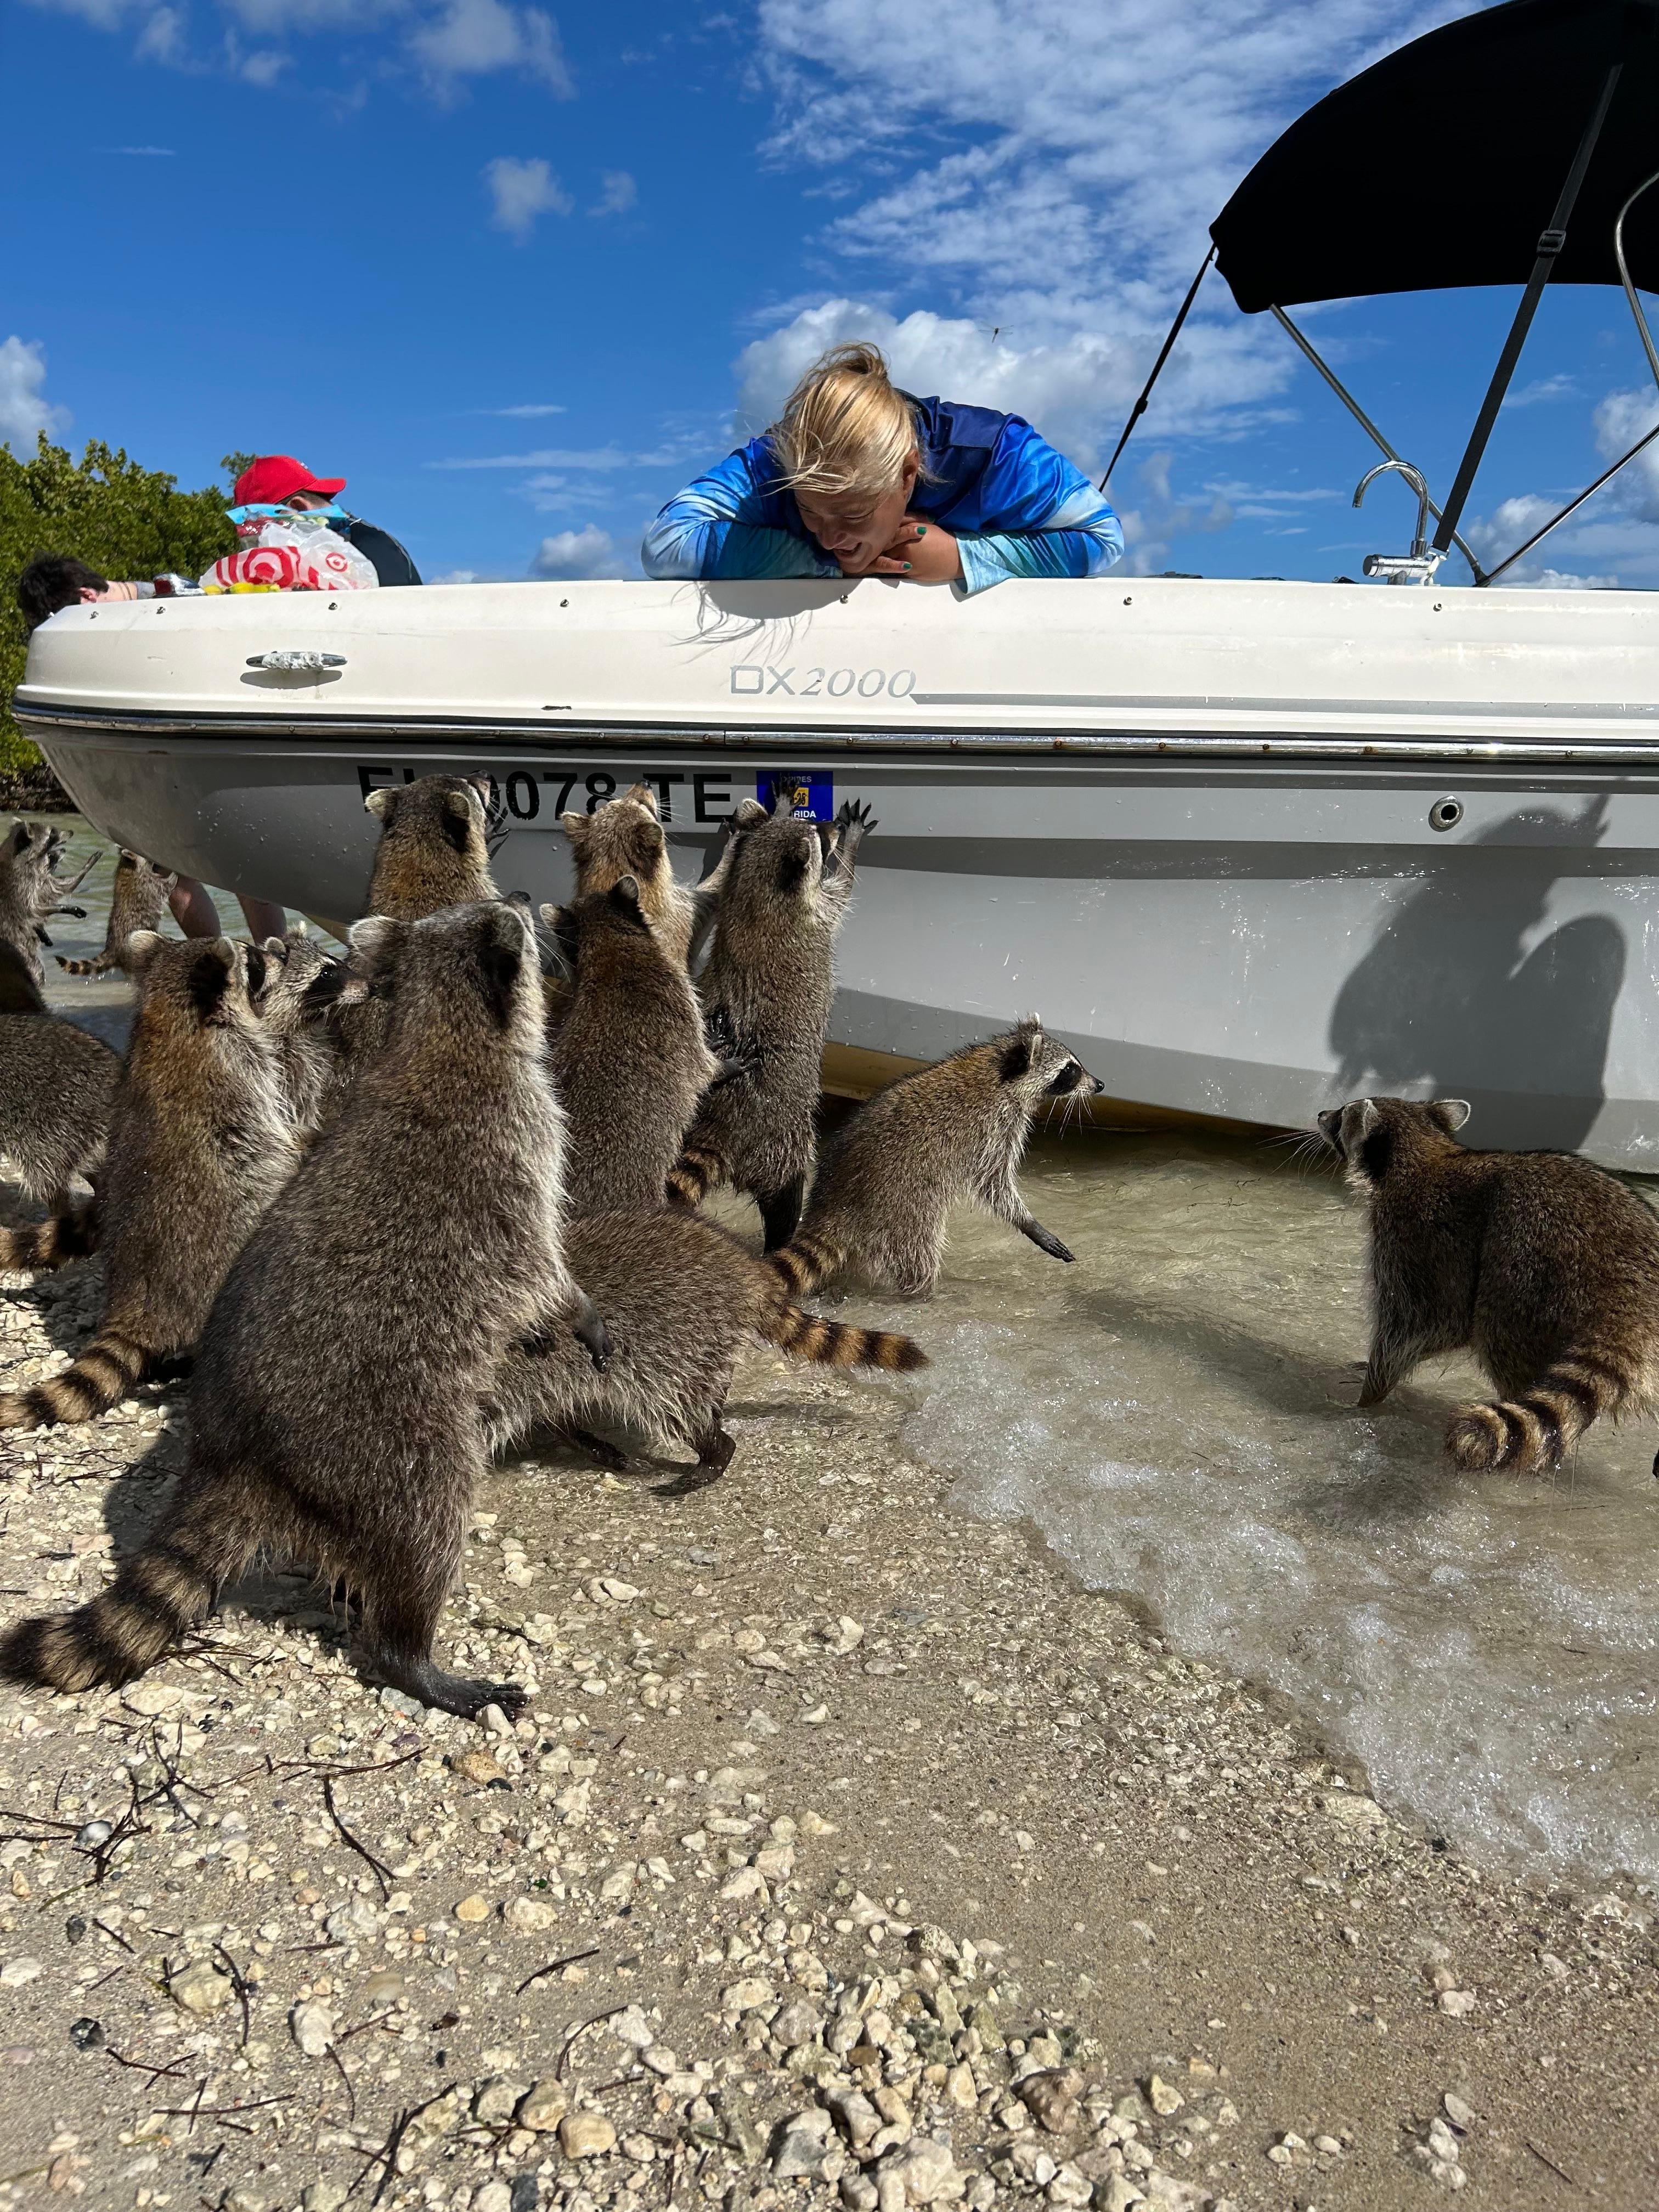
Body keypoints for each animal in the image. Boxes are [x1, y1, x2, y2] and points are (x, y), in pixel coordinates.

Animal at [0, 934, 296, 1430]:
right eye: (256, 960)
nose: (280, 953)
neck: (168, 1009)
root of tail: (140, 1302)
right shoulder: (247, 1066)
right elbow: (281, 1125)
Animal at [668, 794, 874, 1250]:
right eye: (819, 836)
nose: (831, 826)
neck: (755, 893)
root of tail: (720, 1127)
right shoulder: (816, 912)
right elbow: (843, 887)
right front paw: (851, 843)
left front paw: (775, 807)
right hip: (783, 1139)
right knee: (786, 1190)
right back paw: (782, 1237)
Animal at [770, 1019, 1102, 1299]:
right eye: (1070, 1070)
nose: (1100, 1084)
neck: (1002, 1071)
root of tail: (834, 1207)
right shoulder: (994, 1129)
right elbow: (994, 1184)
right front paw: (1028, 1222)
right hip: (905, 1211)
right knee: (920, 1254)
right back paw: (922, 1292)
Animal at [1318, 1094, 1659, 1473]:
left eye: (1340, 1116)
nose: (1321, 1114)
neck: (1424, 1150)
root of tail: (1630, 1296)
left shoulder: (1418, 1240)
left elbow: (1420, 1326)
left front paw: (1369, 1395)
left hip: (1526, 1270)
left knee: (1498, 1333)